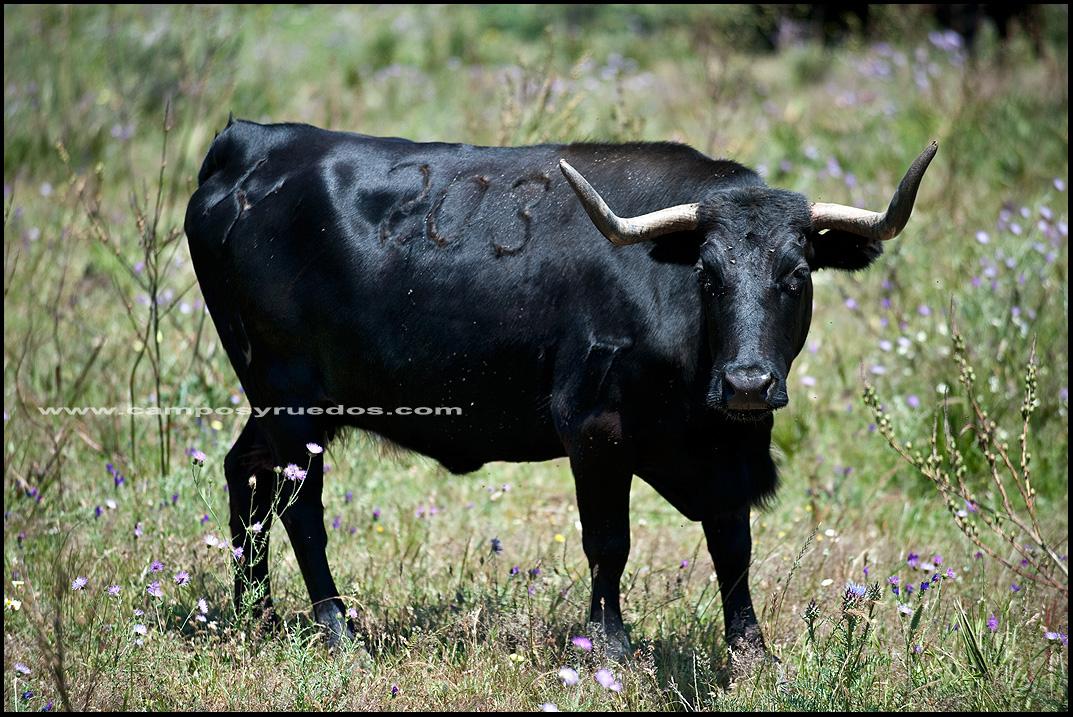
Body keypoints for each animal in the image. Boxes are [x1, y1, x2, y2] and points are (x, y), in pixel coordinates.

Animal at [182, 120, 931, 656]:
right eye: (708, 276)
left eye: (796, 275)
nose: (747, 381)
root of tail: (250, 140)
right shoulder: (595, 430)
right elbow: (608, 541)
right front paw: (610, 644)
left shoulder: (724, 450)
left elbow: (733, 544)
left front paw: (751, 651)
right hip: (291, 400)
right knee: (300, 508)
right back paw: (337, 632)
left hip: (274, 402)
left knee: (245, 475)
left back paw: (255, 614)